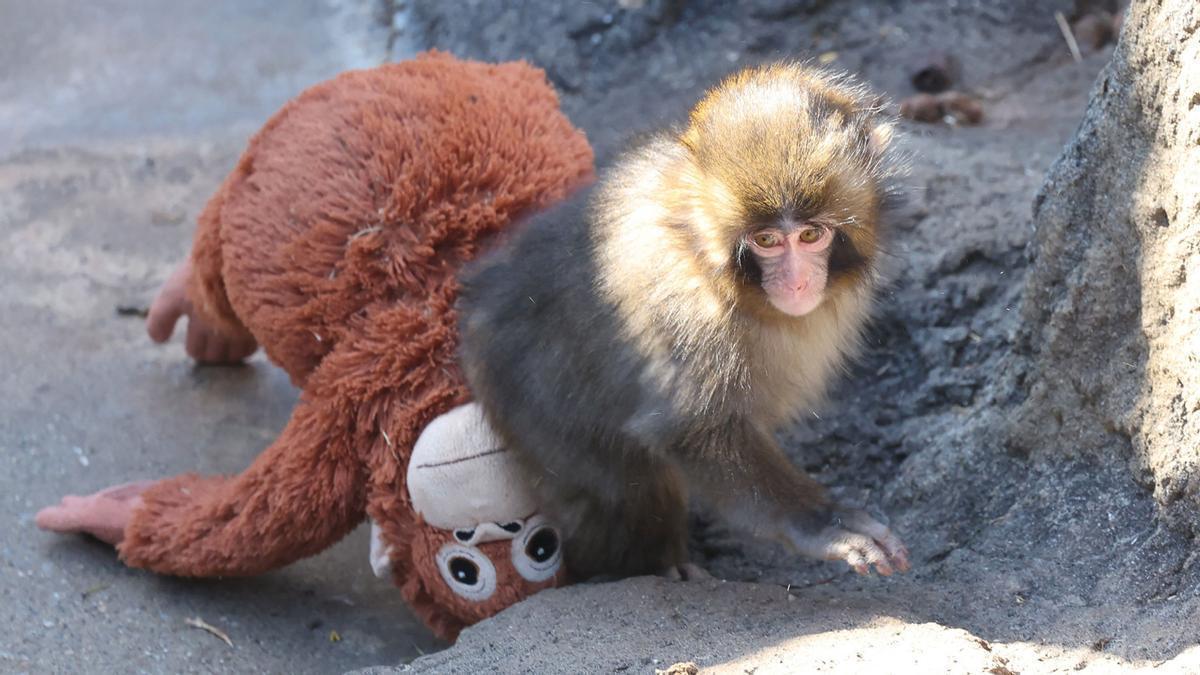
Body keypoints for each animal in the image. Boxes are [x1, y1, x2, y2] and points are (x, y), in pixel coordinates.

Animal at [458, 63, 910, 581]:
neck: (704, 256)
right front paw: (823, 523)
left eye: (811, 235)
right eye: (767, 240)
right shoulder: (690, 317)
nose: (796, 284)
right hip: (530, 405)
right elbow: (693, 431)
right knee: (620, 487)